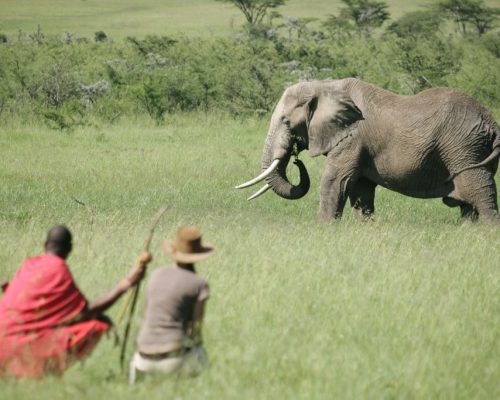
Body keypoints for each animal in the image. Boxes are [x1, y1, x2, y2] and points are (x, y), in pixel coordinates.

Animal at [235, 78, 500, 222]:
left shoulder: (352, 138)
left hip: (464, 149)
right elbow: (360, 190)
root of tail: (492, 123)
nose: (296, 159)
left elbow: (333, 181)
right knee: (469, 206)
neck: (325, 86)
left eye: (287, 122)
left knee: (481, 196)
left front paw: (323, 228)